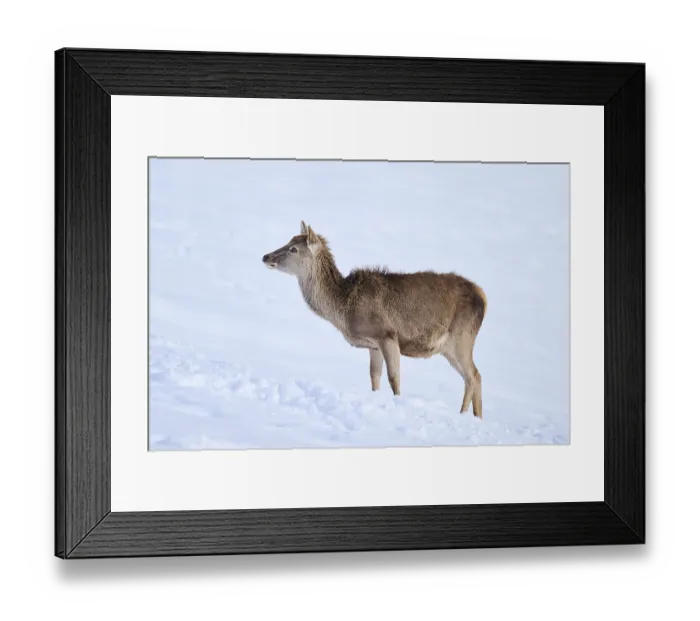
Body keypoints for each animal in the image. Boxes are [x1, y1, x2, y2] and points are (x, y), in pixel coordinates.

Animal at [262, 222, 487, 417]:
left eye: (293, 249)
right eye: (288, 240)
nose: (265, 256)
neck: (343, 311)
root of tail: (483, 297)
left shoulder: (387, 334)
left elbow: (394, 378)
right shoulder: (373, 345)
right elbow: (374, 377)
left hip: (462, 338)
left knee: (473, 376)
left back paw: (464, 414)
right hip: (448, 348)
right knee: (474, 377)